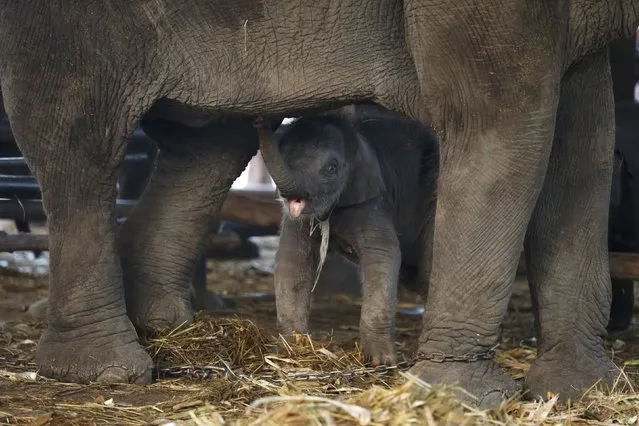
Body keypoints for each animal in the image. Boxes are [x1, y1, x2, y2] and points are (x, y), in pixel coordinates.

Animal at [255, 104, 440, 366]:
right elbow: (292, 260)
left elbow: (383, 255)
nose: (259, 120)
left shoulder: (373, 200)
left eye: (332, 168)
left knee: (426, 273)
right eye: (285, 157)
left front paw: (381, 361)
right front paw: (293, 348)